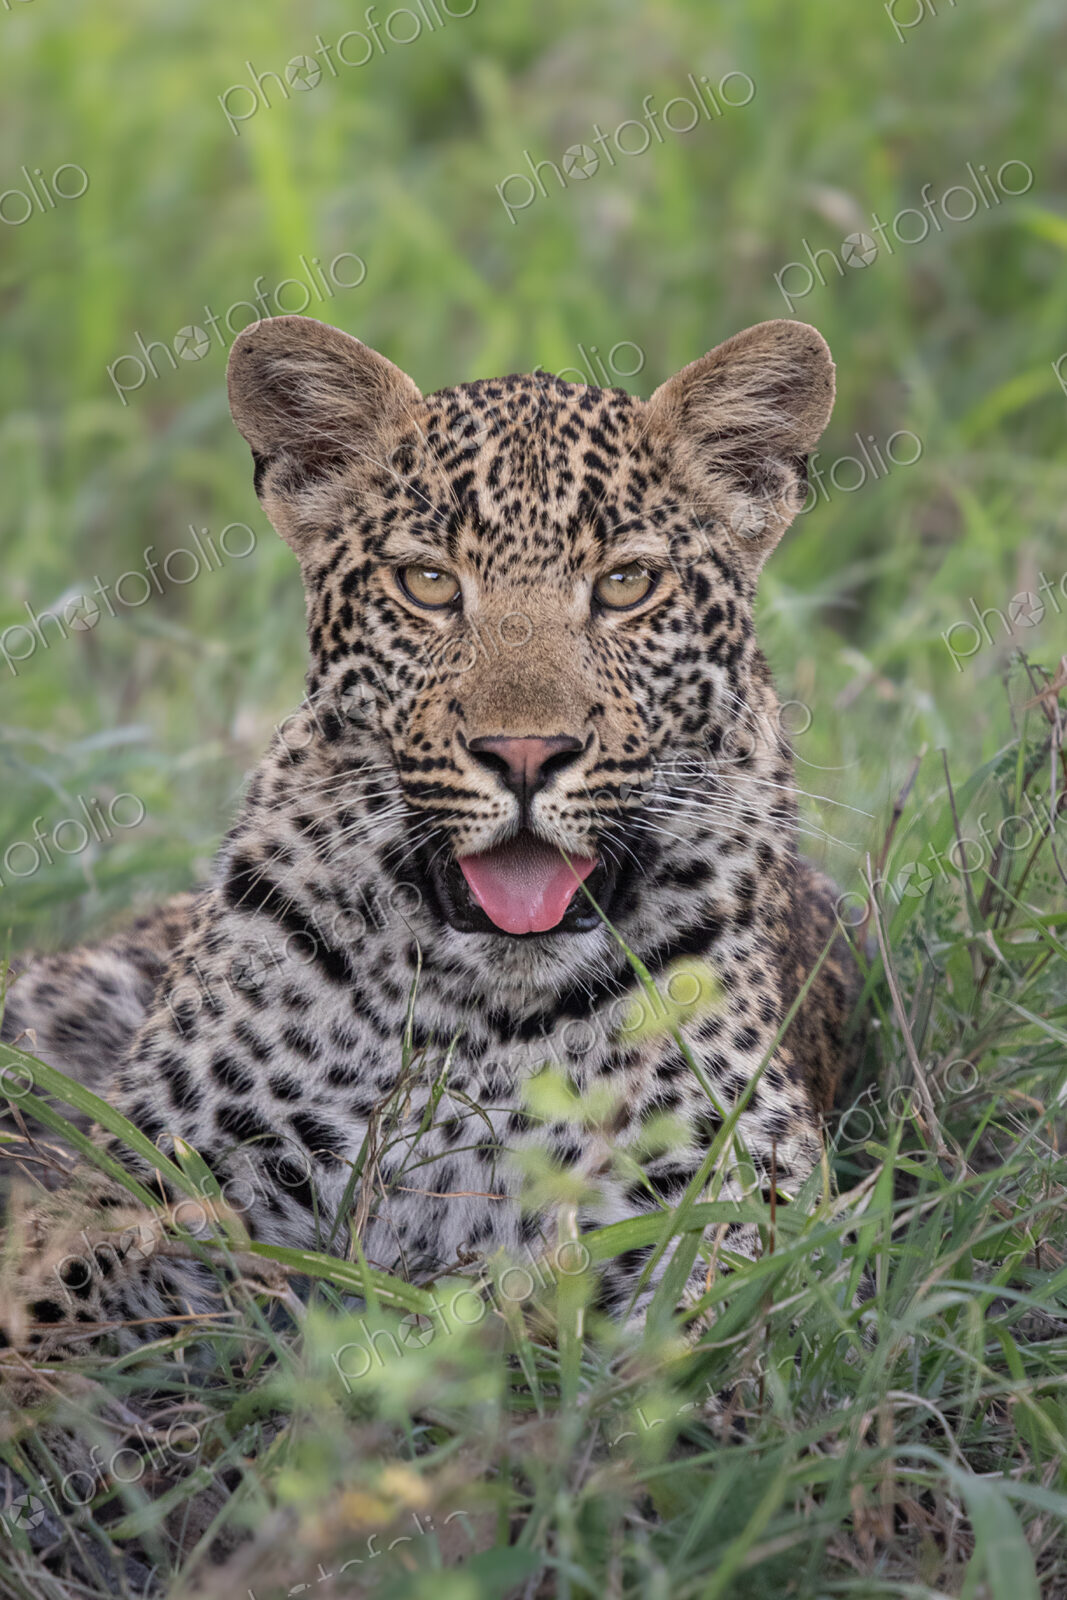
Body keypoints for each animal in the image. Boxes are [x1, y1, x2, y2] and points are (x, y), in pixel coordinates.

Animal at [0, 312, 861, 1355]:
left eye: (624, 585)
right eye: (427, 584)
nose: (525, 753)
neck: (483, 1013)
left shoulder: (740, 1185)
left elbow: (714, 1320)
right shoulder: (160, 1173)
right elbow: (58, 1288)